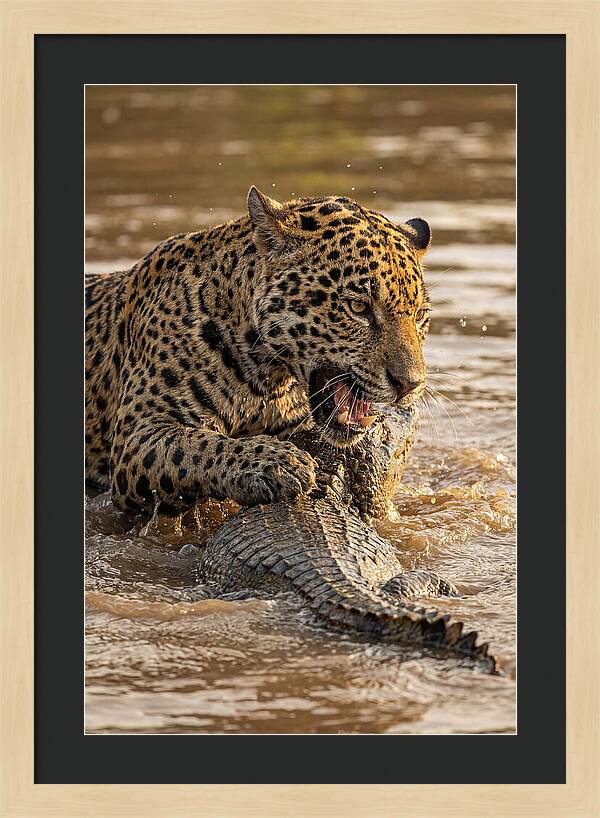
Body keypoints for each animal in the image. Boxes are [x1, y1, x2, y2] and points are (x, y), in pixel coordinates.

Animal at [85, 186, 432, 515]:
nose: (410, 384)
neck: (265, 378)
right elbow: (197, 445)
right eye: (358, 308)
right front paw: (276, 463)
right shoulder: (138, 436)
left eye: (420, 315)